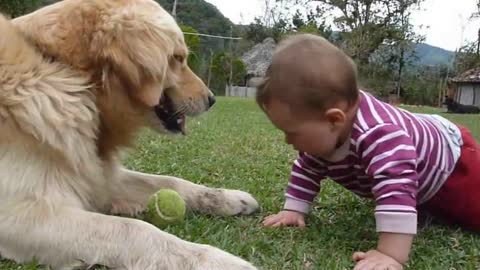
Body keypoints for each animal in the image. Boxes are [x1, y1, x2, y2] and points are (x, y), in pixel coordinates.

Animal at [0, 1, 258, 268]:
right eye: (177, 58)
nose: (212, 99)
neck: (72, 77)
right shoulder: (19, 215)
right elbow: (134, 229)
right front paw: (214, 259)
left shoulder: (99, 175)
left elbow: (169, 181)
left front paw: (227, 198)